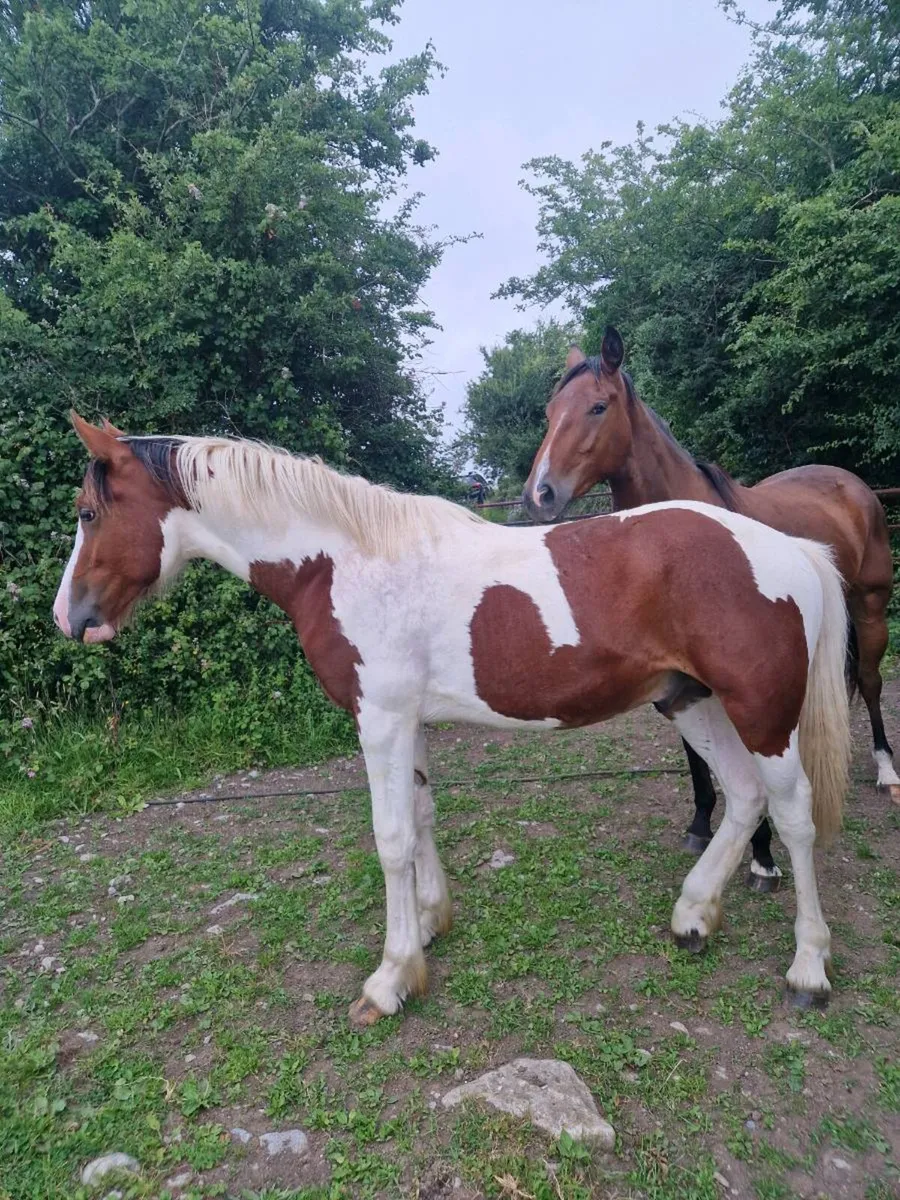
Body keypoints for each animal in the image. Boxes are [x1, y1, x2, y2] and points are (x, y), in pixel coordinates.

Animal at [54, 413, 850, 1022]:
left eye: (89, 513)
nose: (70, 618)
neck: (342, 561)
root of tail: (792, 548)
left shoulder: (379, 720)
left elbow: (391, 838)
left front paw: (391, 977)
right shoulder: (407, 722)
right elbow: (423, 816)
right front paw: (432, 924)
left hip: (761, 711)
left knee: (793, 814)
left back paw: (809, 966)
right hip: (690, 700)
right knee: (743, 799)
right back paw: (693, 917)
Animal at [523, 327, 897, 889]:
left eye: (597, 407)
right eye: (550, 411)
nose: (538, 494)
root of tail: (852, 485)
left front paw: (762, 856)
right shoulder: (678, 676)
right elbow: (698, 759)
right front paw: (701, 823)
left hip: (871, 609)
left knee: (871, 684)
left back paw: (887, 771)